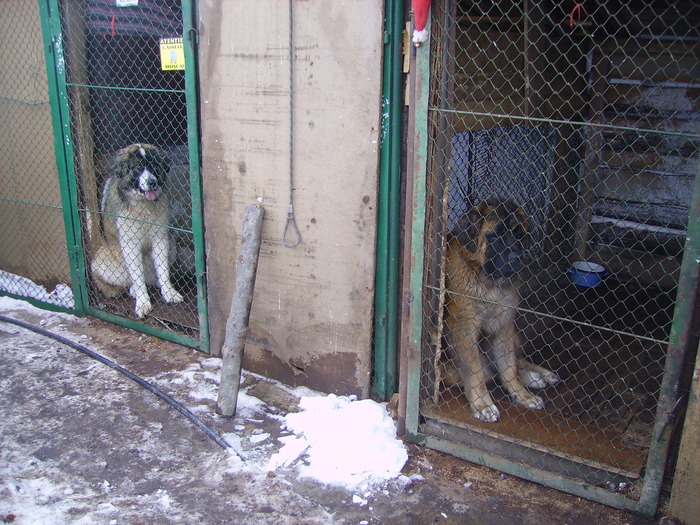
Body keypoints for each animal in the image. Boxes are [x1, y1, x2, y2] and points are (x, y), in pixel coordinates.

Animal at [446, 198, 560, 422]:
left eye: (518, 233)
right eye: (495, 236)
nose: (518, 257)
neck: (487, 282)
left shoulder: (504, 325)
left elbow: (508, 368)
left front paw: (522, 395)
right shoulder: (464, 330)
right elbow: (476, 372)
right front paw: (482, 405)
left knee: (515, 361)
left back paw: (537, 374)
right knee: (488, 371)